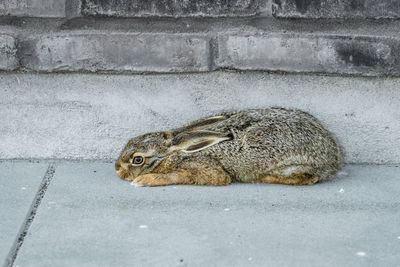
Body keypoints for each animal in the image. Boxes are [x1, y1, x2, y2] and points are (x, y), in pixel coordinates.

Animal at [115, 108, 340, 187]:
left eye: (137, 159)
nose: (117, 169)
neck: (177, 151)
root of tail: (335, 157)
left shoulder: (204, 169)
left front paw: (143, 181)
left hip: (289, 164)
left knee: (308, 177)